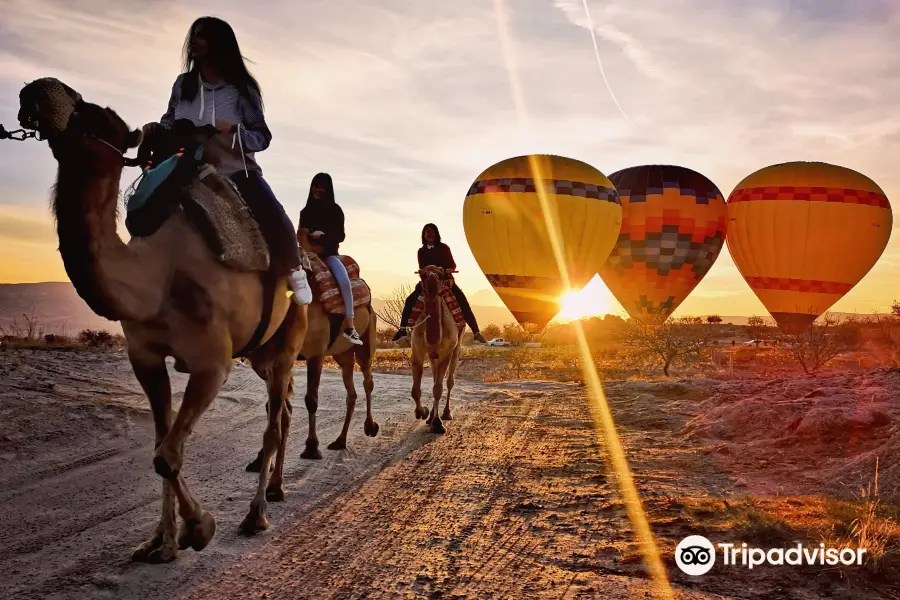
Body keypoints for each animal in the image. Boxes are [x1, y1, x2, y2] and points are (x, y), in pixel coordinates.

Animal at [17, 78, 310, 564]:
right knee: (280, 409)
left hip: (289, 339)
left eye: (98, 116)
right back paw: (275, 488)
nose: (37, 90)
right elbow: (160, 444)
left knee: (274, 423)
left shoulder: (212, 362)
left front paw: (201, 527)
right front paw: (162, 542)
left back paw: (256, 514)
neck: (156, 278)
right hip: (260, 352)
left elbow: (167, 455)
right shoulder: (146, 357)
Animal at [244, 229, 378, 468]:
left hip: (366, 341)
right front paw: (260, 460)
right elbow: (272, 405)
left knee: (367, 380)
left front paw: (311, 447)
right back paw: (340, 440)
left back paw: (370, 426)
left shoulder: (316, 352)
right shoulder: (271, 361)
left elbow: (311, 399)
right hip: (342, 354)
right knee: (351, 392)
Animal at [410, 264, 464, 434]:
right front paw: (423, 412)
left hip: (456, 348)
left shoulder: (447, 352)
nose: (433, 282)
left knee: (449, 381)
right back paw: (430, 417)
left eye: (441, 274)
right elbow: (416, 390)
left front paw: (438, 424)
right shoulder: (417, 350)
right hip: (434, 356)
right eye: (422, 275)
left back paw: (446, 414)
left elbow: (438, 389)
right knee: (435, 378)